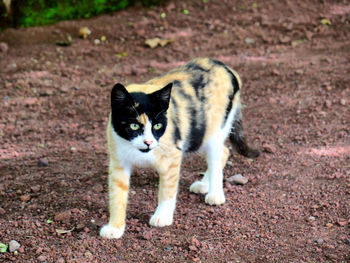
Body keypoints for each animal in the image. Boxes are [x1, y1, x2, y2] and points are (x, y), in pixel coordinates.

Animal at [100, 57, 258, 239]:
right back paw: (204, 184)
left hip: (214, 129)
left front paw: (162, 216)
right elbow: (117, 195)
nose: (148, 142)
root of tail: (224, 66)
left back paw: (215, 194)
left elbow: (167, 191)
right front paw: (115, 227)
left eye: (158, 125)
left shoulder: (172, 157)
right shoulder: (118, 161)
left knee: (217, 157)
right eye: (134, 125)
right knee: (224, 152)